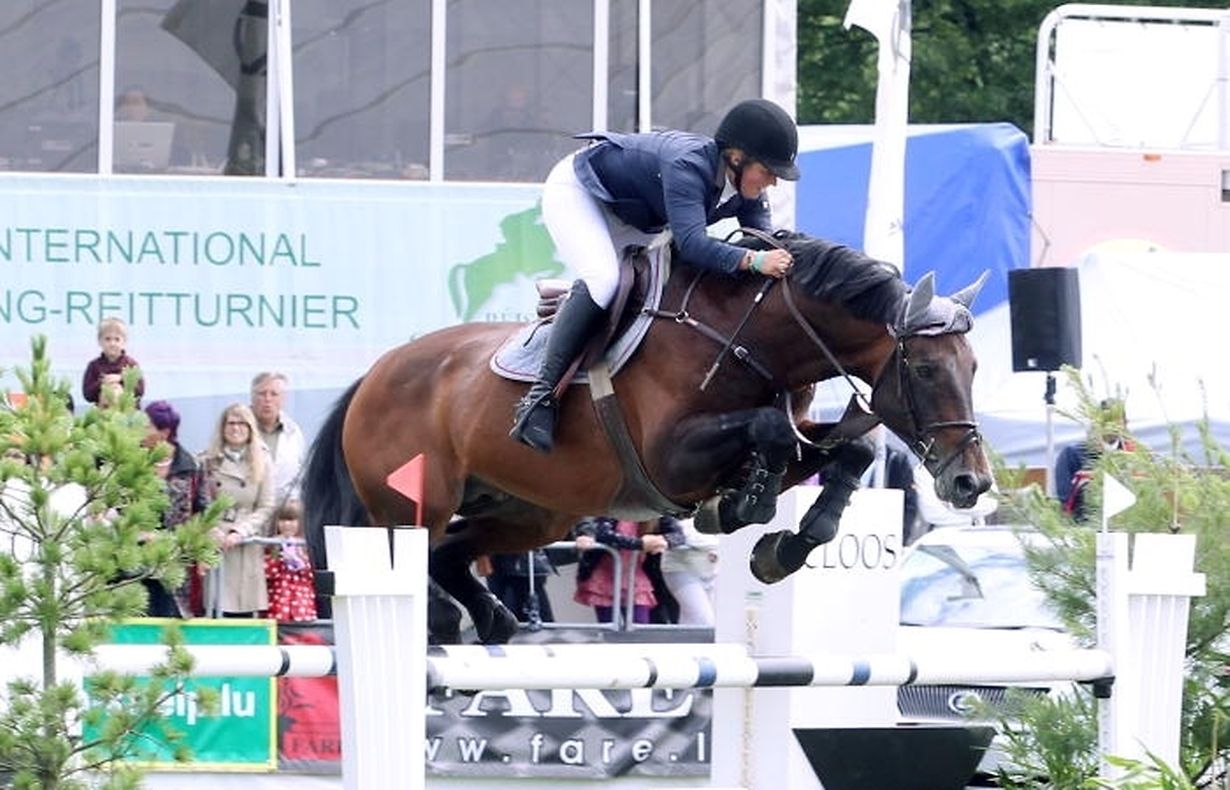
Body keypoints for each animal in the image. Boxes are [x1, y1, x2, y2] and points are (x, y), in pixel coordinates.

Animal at [304, 230, 994, 644]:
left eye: (974, 368)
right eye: (926, 369)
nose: (971, 482)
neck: (752, 338)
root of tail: (375, 374)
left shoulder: (798, 439)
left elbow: (853, 447)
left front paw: (787, 543)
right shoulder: (670, 461)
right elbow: (770, 430)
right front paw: (742, 504)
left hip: (536, 513)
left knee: (452, 552)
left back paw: (490, 617)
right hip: (414, 501)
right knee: (409, 552)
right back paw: (448, 617)